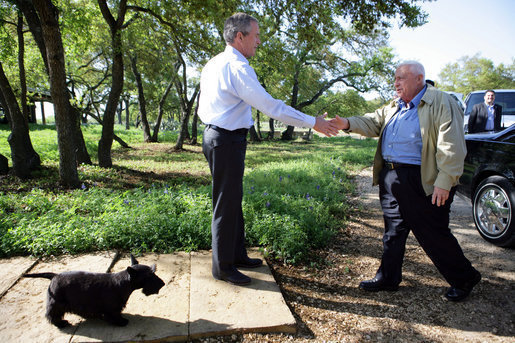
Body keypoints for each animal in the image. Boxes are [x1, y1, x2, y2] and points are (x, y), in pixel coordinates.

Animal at [23, 255, 165, 328]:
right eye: (149, 276)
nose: (162, 284)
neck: (123, 283)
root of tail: (54, 276)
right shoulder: (112, 308)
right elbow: (114, 315)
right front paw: (121, 322)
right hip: (56, 303)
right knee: (52, 314)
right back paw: (61, 323)